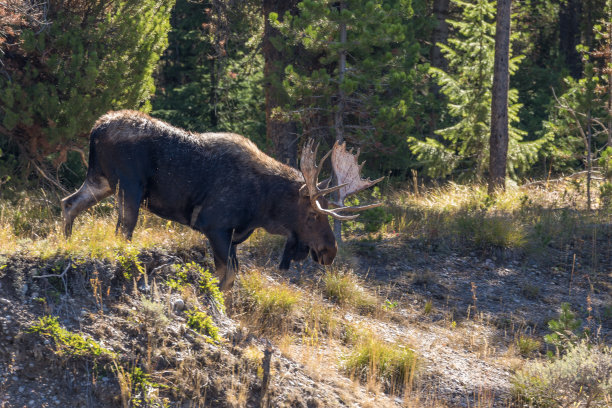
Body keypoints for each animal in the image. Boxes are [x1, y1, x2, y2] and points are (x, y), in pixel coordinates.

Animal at [63, 110, 388, 292]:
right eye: (312, 215)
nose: (330, 251)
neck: (263, 206)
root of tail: (95, 129)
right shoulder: (213, 225)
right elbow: (227, 276)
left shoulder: (232, 236)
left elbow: (230, 276)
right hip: (130, 185)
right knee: (123, 230)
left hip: (101, 180)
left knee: (70, 202)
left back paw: (66, 243)